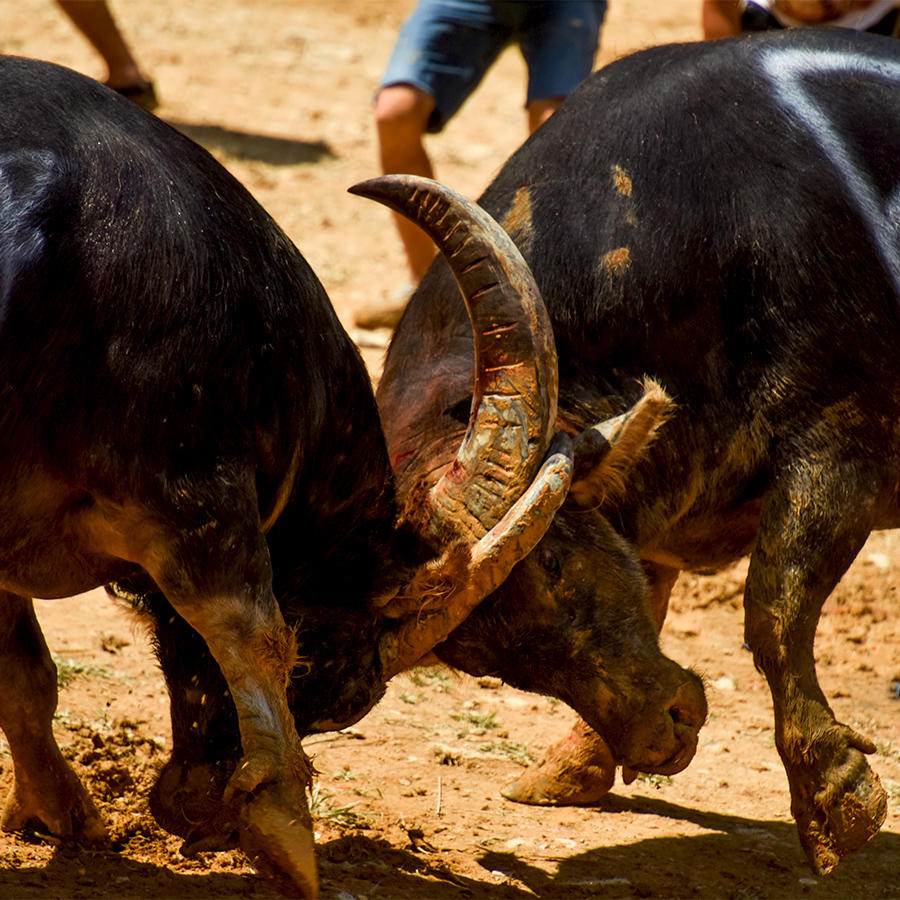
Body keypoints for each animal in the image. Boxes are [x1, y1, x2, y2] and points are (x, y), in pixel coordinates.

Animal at [0, 54, 576, 892]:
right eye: (331, 678)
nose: (197, 812)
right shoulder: (193, 490)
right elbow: (249, 627)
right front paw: (283, 827)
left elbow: (26, 673)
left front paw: (54, 808)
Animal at [374, 26, 900, 872]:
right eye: (478, 655)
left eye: (552, 563)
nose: (666, 734)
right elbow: (653, 596)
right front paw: (576, 763)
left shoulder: (841, 439)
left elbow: (775, 607)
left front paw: (837, 795)